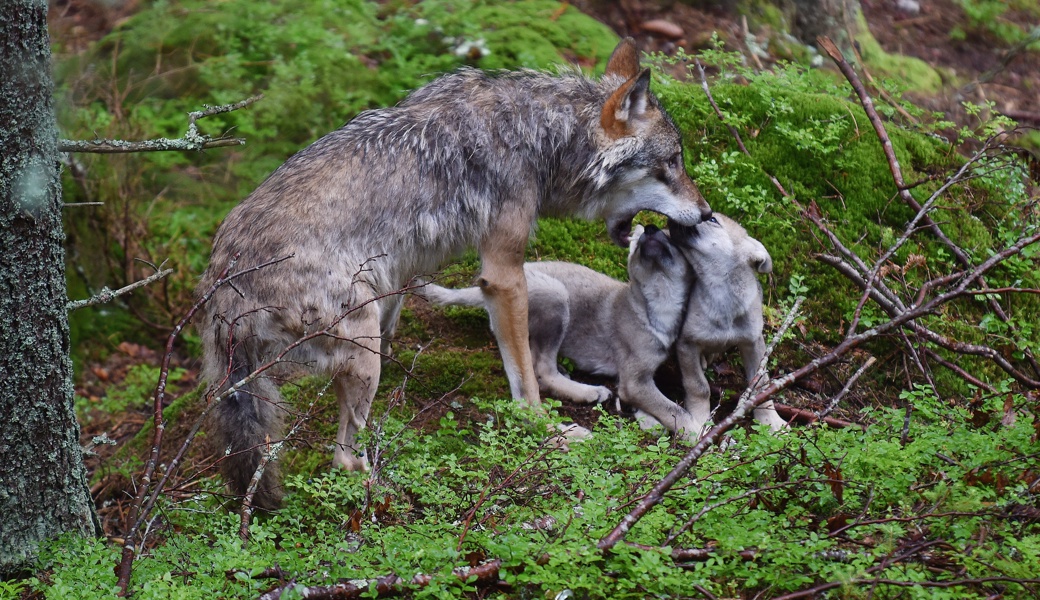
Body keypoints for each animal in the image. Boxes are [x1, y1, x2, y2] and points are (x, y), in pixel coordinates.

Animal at [422, 222, 690, 409]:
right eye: (635, 247)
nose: (650, 229)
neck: (656, 303)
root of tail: (482, 291)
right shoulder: (635, 381)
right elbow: (674, 412)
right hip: (557, 296)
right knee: (542, 369)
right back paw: (588, 391)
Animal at [665, 213, 786, 432]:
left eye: (712, 219)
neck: (722, 296)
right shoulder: (687, 345)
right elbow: (698, 387)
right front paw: (700, 420)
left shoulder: (753, 343)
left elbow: (760, 385)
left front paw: (770, 421)